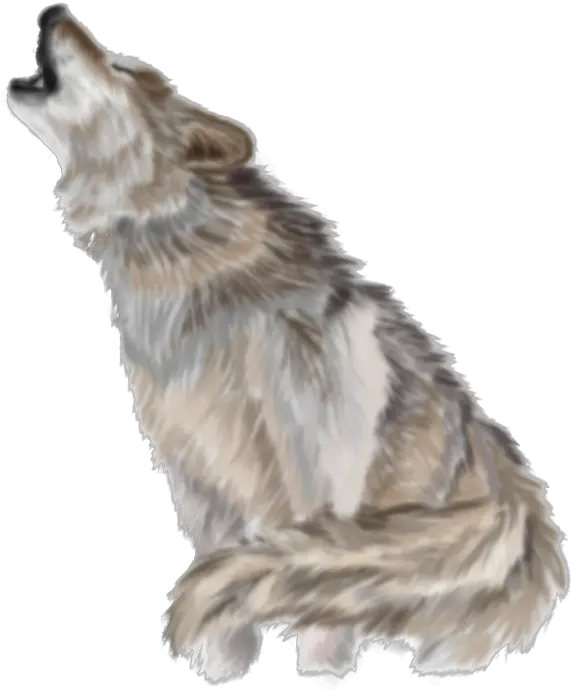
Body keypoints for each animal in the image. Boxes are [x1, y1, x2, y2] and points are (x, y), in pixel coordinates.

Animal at [8, 4, 568, 682]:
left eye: (127, 68)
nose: (53, 11)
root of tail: (523, 501)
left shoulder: (321, 505)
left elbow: (320, 620)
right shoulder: (208, 498)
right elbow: (227, 622)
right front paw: (221, 671)